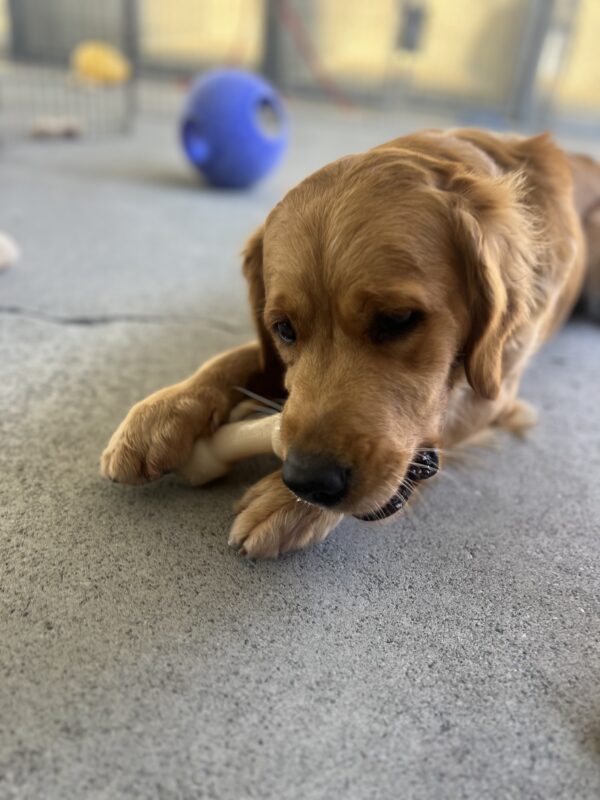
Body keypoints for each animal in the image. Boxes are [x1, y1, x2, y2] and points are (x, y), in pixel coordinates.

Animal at [99, 130, 600, 556]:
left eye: (397, 319)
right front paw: (161, 411)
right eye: (283, 328)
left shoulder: (498, 385)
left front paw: (286, 504)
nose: (306, 481)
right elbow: (239, 357)